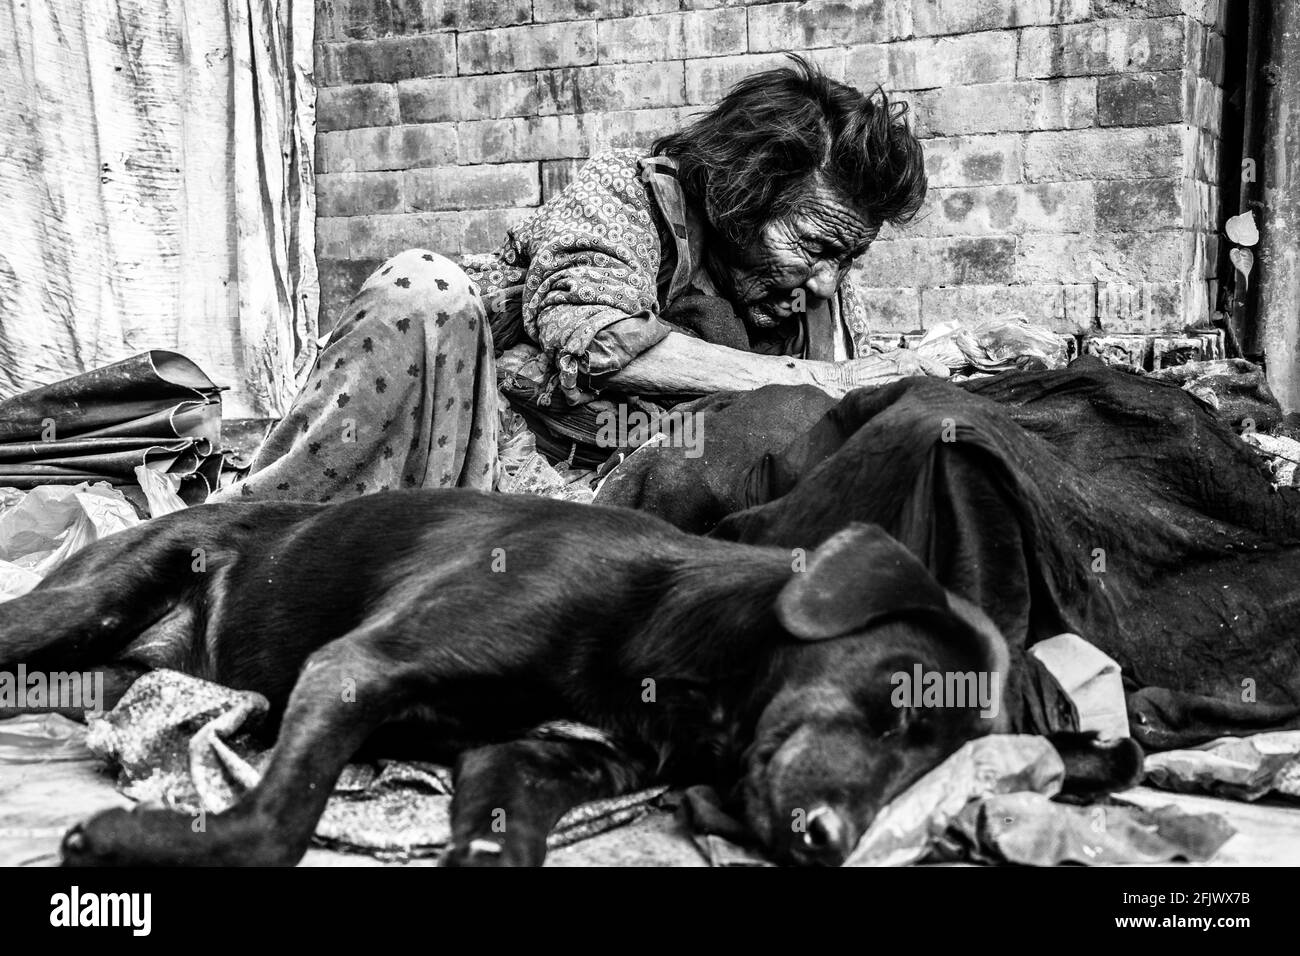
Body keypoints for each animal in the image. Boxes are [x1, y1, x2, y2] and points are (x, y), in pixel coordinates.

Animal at [0, 489, 1138, 868]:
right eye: (897, 698)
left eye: (937, 778)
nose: (827, 843)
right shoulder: (355, 667)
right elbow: (276, 822)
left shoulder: (535, 762)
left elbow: (506, 827)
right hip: (81, 603)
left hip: (93, 670)